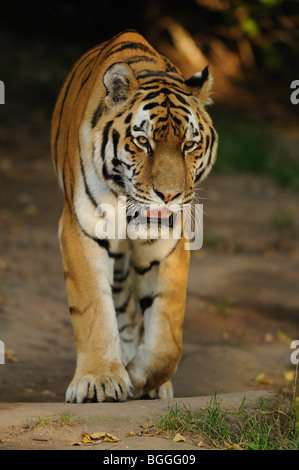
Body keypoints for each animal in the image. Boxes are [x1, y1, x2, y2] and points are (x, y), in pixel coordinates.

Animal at [51, 30, 219, 404]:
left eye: (189, 145)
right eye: (143, 142)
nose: (168, 195)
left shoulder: (167, 243)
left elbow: (166, 338)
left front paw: (141, 380)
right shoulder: (82, 229)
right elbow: (93, 310)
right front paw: (100, 380)